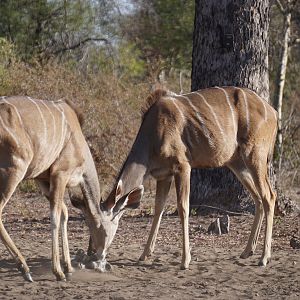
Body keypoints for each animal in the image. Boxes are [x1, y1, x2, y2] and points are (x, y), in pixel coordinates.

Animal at [0, 96, 107, 282]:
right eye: (107, 233)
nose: (100, 258)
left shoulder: (43, 181)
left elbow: (64, 213)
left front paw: (69, 267)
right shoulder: (60, 174)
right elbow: (56, 216)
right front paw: (59, 271)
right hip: (13, 171)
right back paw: (25, 269)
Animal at [96, 86, 276, 270]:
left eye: (102, 228)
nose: (94, 252)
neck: (153, 134)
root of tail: (273, 112)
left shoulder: (182, 166)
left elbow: (183, 208)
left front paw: (185, 261)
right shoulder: (164, 175)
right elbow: (158, 208)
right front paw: (144, 254)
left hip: (255, 154)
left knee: (269, 196)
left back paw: (264, 258)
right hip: (237, 163)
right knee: (258, 198)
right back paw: (247, 251)